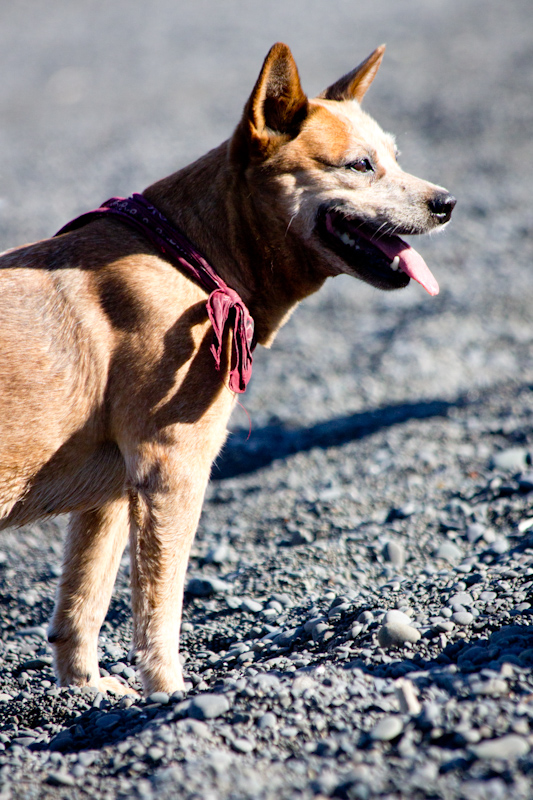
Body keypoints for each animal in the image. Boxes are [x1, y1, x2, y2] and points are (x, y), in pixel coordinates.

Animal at [0, 43, 454, 692]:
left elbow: (82, 601)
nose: (447, 204)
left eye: (396, 158)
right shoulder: (172, 468)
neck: (193, 255)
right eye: (360, 166)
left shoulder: (108, 491)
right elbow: (158, 606)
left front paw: (87, 690)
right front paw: (169, 694)